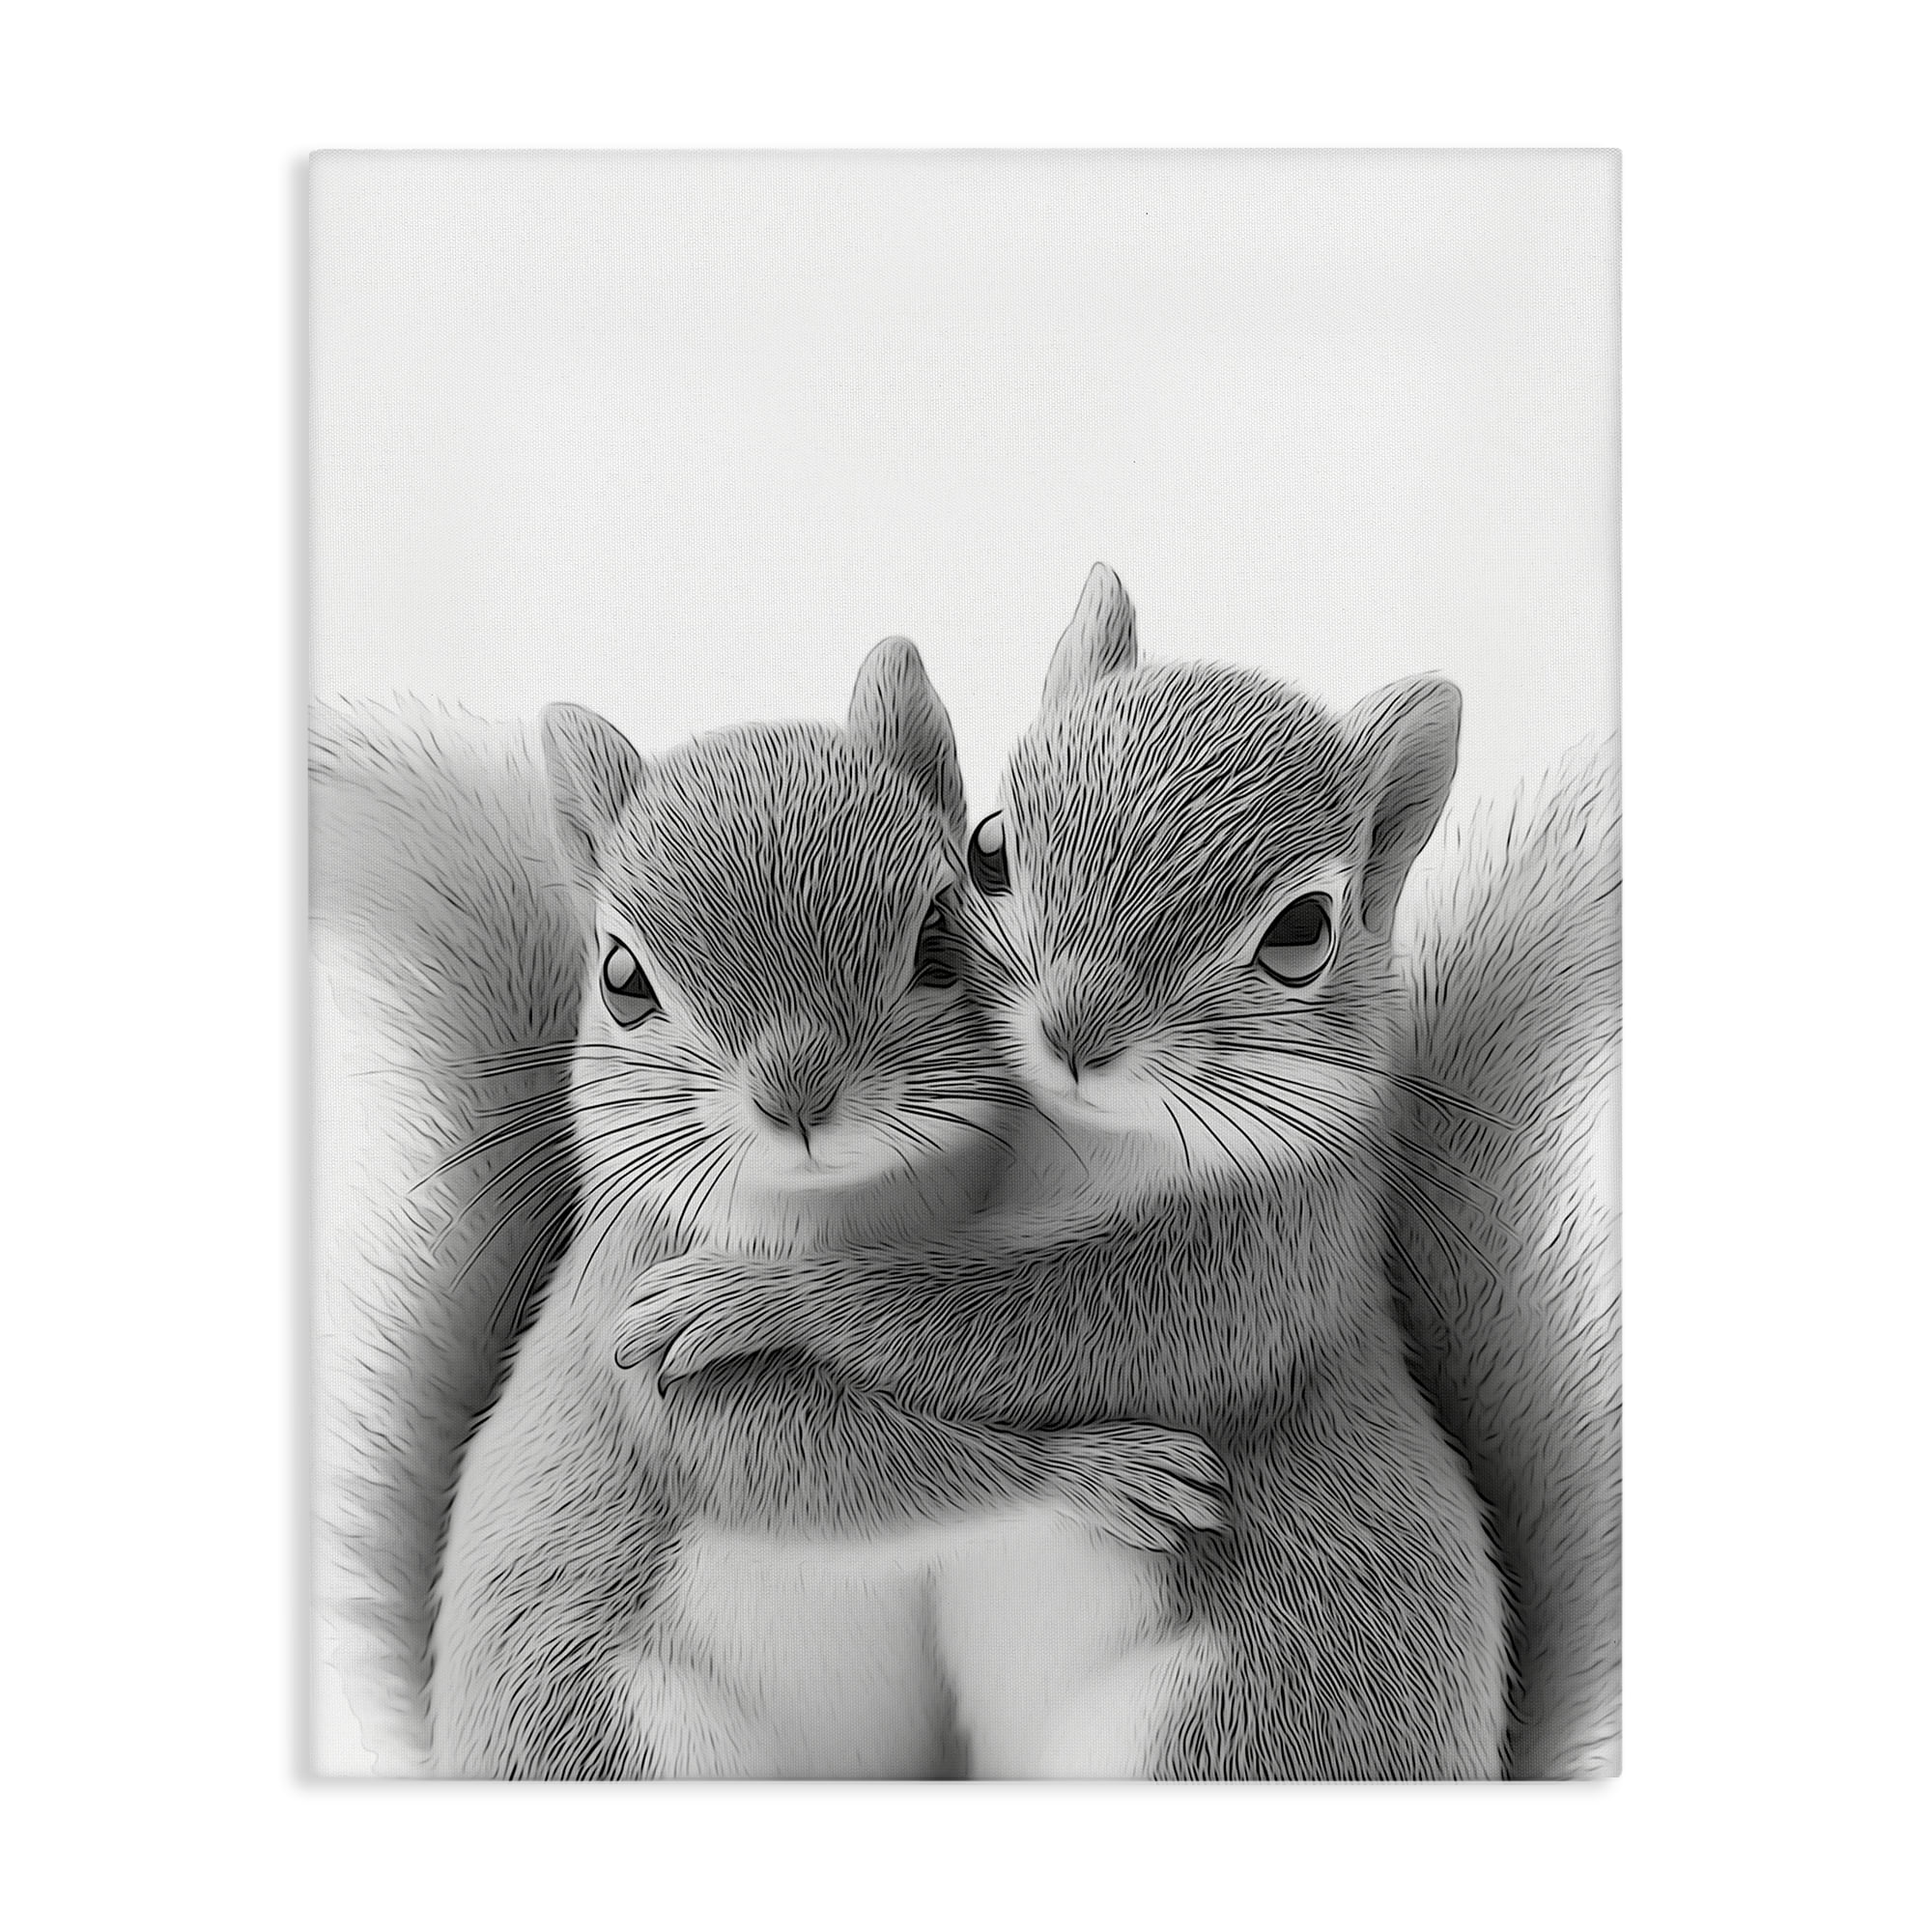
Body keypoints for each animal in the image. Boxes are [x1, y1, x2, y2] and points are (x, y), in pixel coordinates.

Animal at [314, 641, 1234, 1777]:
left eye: (941, 931)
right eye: (620, 977)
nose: (797, 1094)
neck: (847, 1209)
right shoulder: (634, 1323)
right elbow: (784, 1459)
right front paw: (1097, 1468)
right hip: (625, 1738)